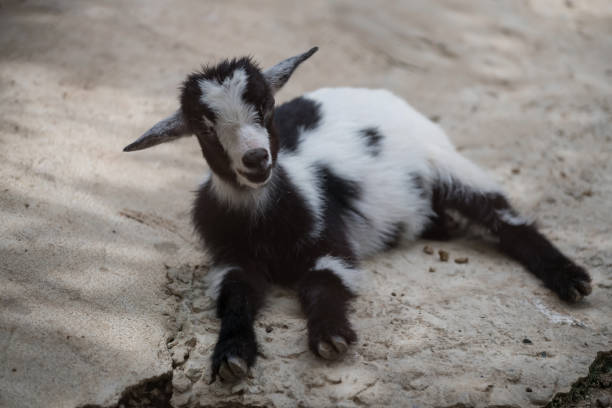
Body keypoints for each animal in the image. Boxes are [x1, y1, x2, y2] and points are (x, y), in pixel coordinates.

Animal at [123, 47, 592, 382]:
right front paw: (232, 355)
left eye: (267, 107)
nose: (256, 160)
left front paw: (330, 336)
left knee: (506, 220)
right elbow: (235, 297)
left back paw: (570, 280)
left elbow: (322, 282)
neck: (264, 217)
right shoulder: (229, 259)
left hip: (448, 162)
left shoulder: (331, 244)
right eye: (204, 127)